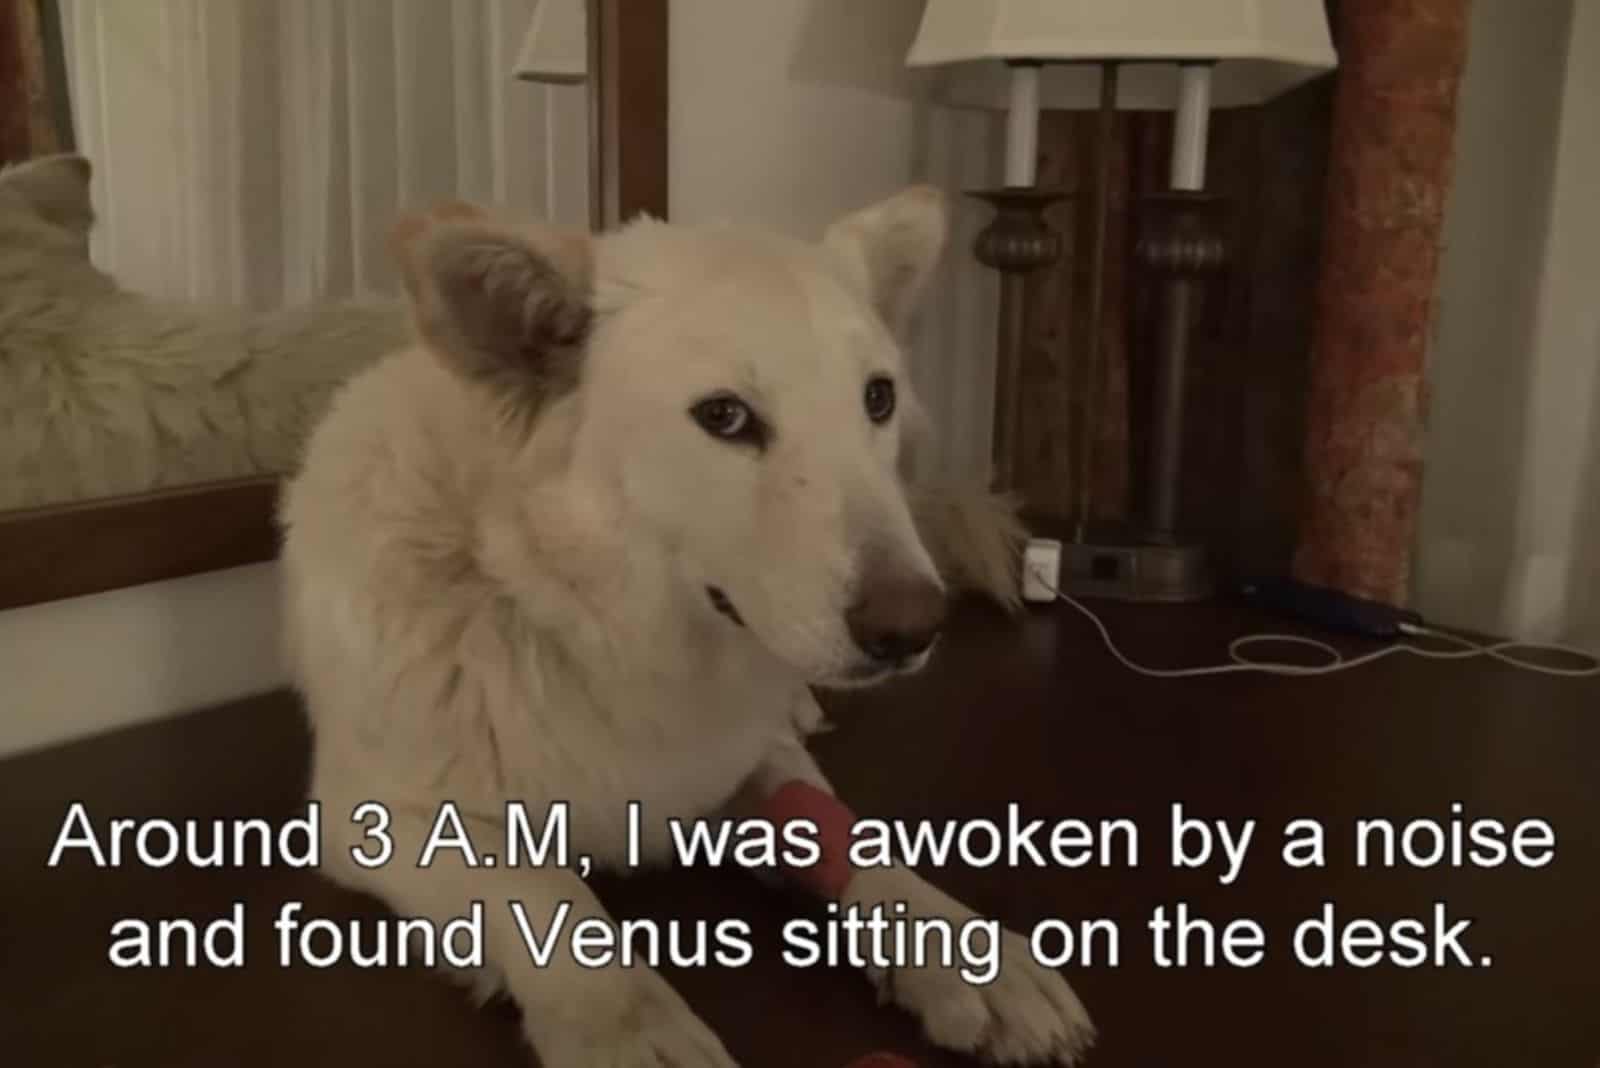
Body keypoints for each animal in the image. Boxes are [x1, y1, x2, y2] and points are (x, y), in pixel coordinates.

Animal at [281, 187, 1094, 1061]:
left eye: (877, 398)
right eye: (725, 417)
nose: (913, 629)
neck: (600, 636)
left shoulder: (746, 755)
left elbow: (851, 841)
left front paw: (968, 956)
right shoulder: (379, 816)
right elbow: (542, 890)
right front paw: (631, 1027)